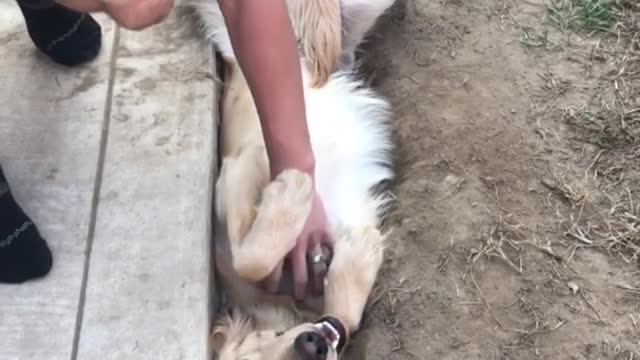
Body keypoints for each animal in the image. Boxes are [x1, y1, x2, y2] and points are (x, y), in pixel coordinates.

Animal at [180, 1, 398, 358]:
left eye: (272, 334)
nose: (311, 345)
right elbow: (346, 318)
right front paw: (358, 256)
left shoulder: (232, 175)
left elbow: (249, 259)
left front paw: (292, 189)